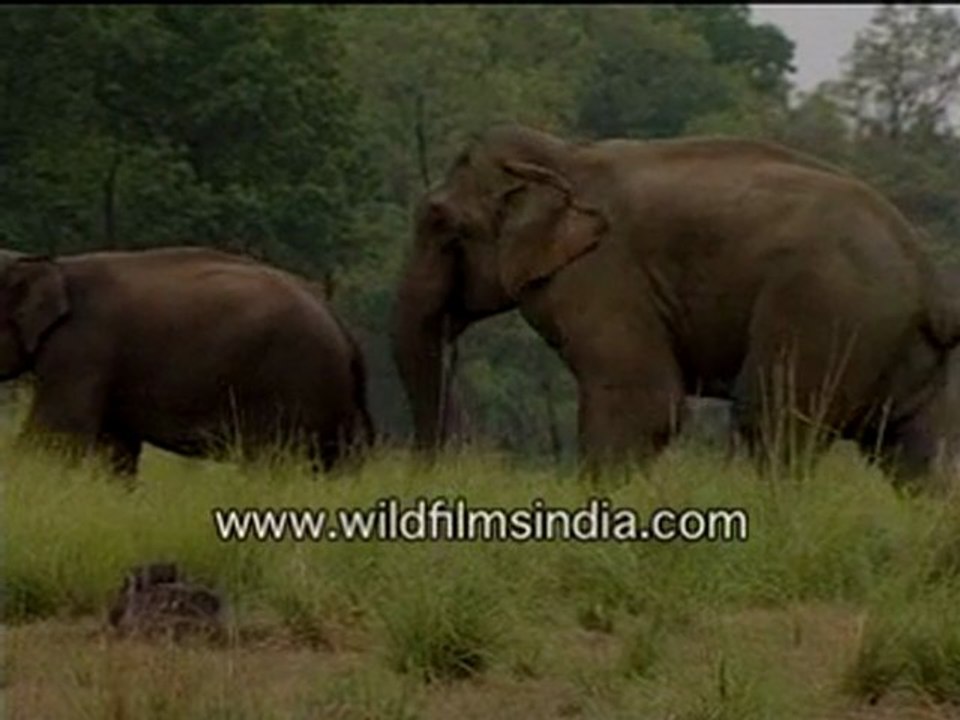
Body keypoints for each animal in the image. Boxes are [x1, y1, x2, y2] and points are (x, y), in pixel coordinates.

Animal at [0, 246, 373, 475]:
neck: (50, 264)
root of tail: (342, 326)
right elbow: (116, 448)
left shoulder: (81, 348)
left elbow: (55, 435)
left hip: (294, 382)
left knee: (272, 462)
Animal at [391, 124, 960, 481]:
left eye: (441, 224)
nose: (429, 469)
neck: (563, 157)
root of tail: (929, 277)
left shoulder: (604, 276)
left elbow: (642, 402)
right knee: (915, 450)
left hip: (826, 310)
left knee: (770, 420)